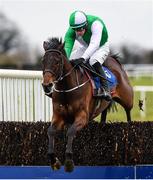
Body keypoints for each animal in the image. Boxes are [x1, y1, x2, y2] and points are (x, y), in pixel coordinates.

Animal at [41, 37, 133, 172]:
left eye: (57, 62)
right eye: (43, 61)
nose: (46, 85)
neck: (67, 89)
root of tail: (113, 59)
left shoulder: (82, 117)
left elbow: (71, 132)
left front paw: (69, 161)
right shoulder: (58, 116)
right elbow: (50, 132)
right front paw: (54, 160)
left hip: (127, 99)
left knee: (128, 112)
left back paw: (130, 132)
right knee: (104, 113)